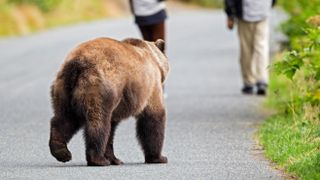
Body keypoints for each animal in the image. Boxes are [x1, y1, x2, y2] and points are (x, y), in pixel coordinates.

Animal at [48, 37, 169, 166]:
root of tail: (77, 64)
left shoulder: (117, 107)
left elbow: (112, 130)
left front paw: (115, 159)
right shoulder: (151, 87)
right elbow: (153, 118)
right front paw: (159, 157)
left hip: (64, 90)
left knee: (65, 119)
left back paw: (61, 152)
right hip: (100, 87)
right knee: (98, 123)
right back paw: (98, 159)